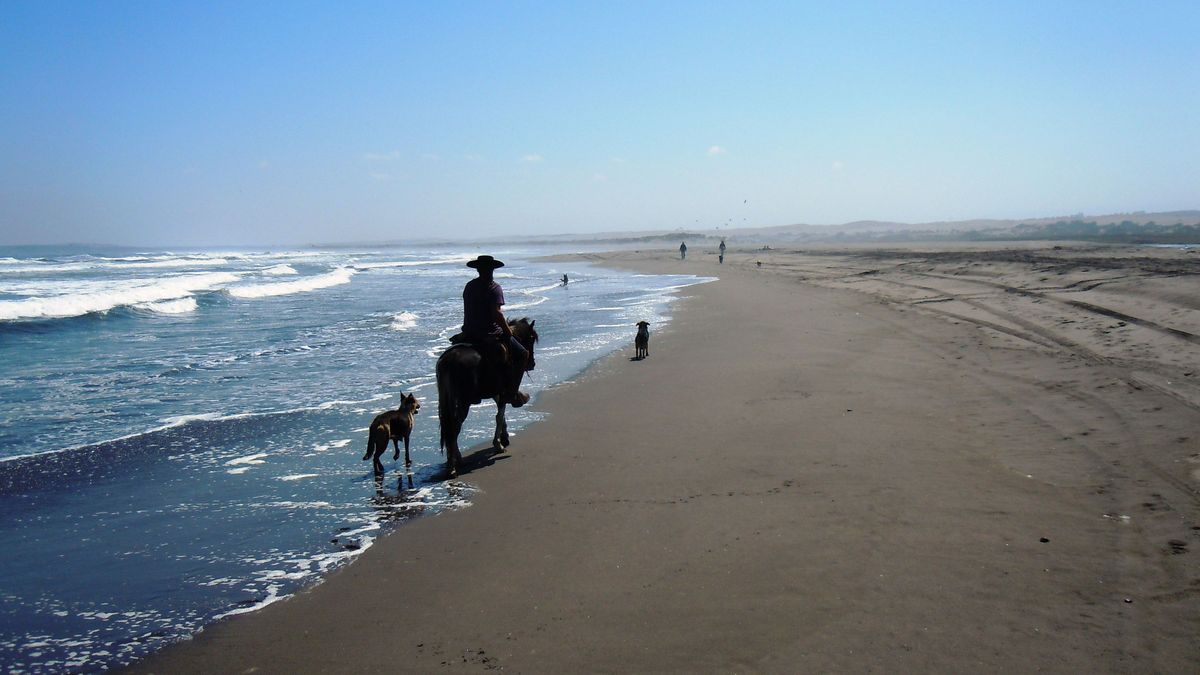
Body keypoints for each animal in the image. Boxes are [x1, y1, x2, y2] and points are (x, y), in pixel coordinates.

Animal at [436, 317, 540, 475]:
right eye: (532, 338)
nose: (532, 364)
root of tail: (449, 361)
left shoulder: (496, 391)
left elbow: (501, 414)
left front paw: (504, 438)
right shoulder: (503, 391)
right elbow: (499, 415)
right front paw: (499, 444)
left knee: (449, 425)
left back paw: (455, 461)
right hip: (463, 401)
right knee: (455, 426)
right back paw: (453, 464)